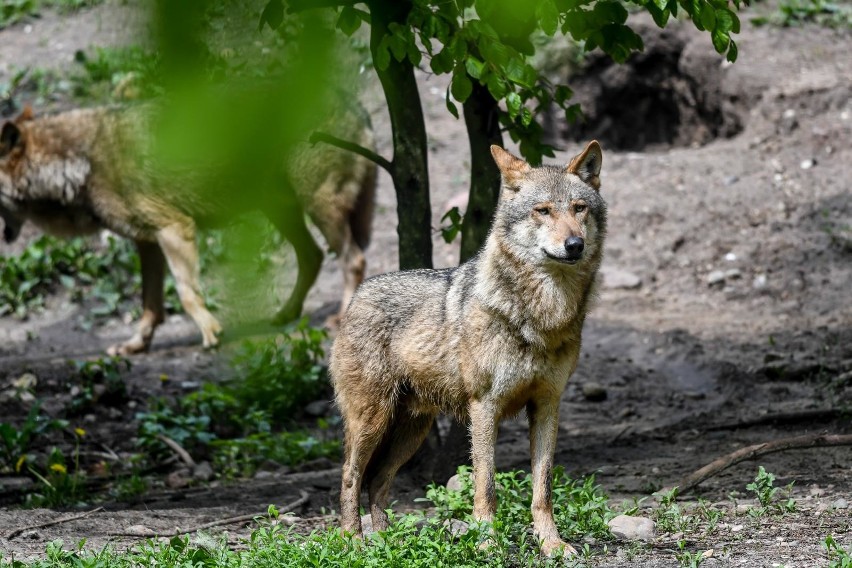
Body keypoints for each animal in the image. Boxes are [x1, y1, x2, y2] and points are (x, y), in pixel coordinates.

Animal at [0, 100, 376, 352]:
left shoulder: (174, 228)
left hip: (317, 209)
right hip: (280, 211)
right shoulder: (147, 243)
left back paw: (340, 320)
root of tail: (355, 102)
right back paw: (285, 314)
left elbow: (186, 293)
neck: (79, 162)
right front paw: (136, 345)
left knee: (353, 260)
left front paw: (211, 333)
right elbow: (150, 305)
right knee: (313, 257)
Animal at [332, 140, 604, 556]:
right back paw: (355, 543)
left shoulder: (547, 404)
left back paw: (386, 544)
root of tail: (355, 298)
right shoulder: (484, 407)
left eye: (579, 208)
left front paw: (552, 545)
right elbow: (486, 487)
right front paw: (488, 544)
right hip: (372, 421)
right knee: (350, 475)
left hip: (412, 430)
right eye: (543, 210)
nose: (575, 244)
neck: (541, 315)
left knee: (377, 480)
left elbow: (543, 489)